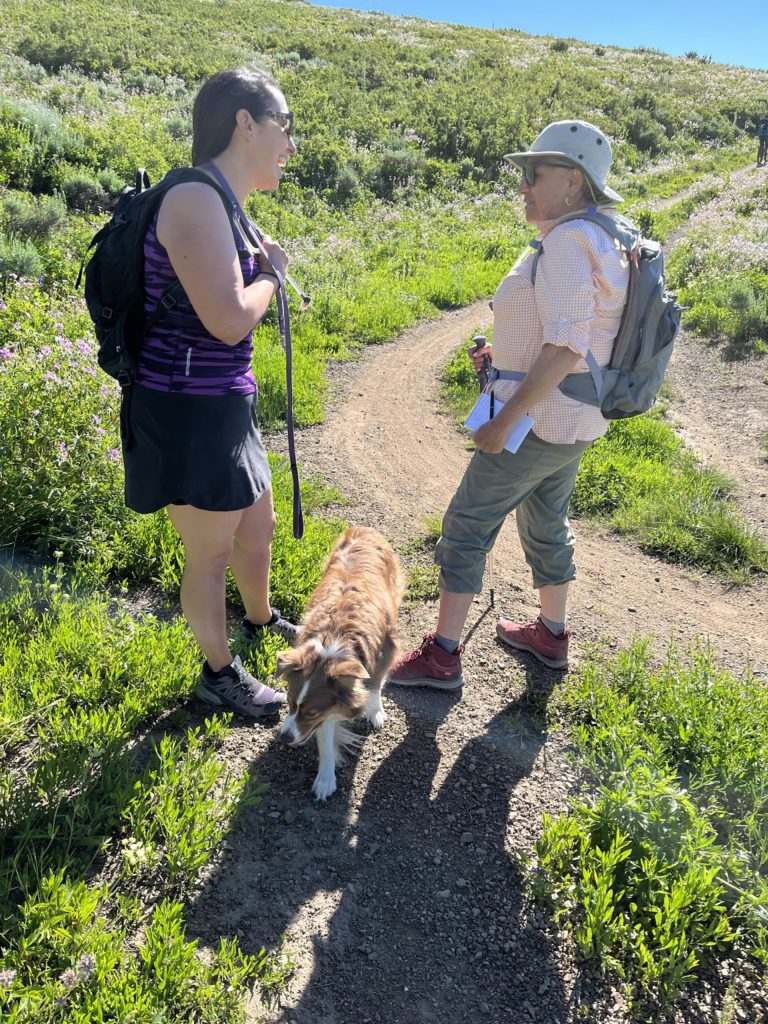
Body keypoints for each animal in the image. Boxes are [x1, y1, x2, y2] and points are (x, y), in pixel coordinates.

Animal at [278, 528, 409, 798]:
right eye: (290, 703)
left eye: (311, 712)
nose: (284, 738)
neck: (335, 639)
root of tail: (364, 530)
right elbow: (327, 737)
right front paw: (325, 779)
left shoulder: (386, 649)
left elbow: (374, 684)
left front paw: (374, 710)